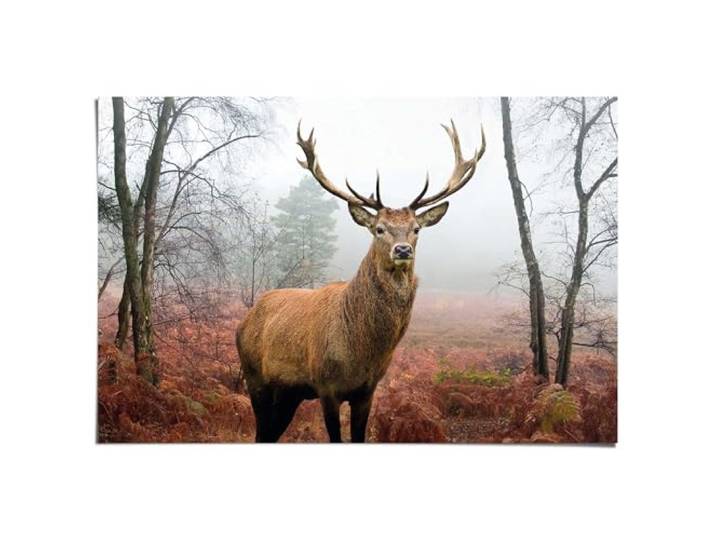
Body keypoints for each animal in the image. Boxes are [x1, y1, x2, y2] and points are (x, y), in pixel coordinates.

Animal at [236, 119, 486, 442]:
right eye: (379, 228)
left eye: (416, 229)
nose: (402, 250)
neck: (360, 352)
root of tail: (245, 319)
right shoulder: (326, 387)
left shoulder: (367, 390)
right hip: (254, 377)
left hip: (289, 393)